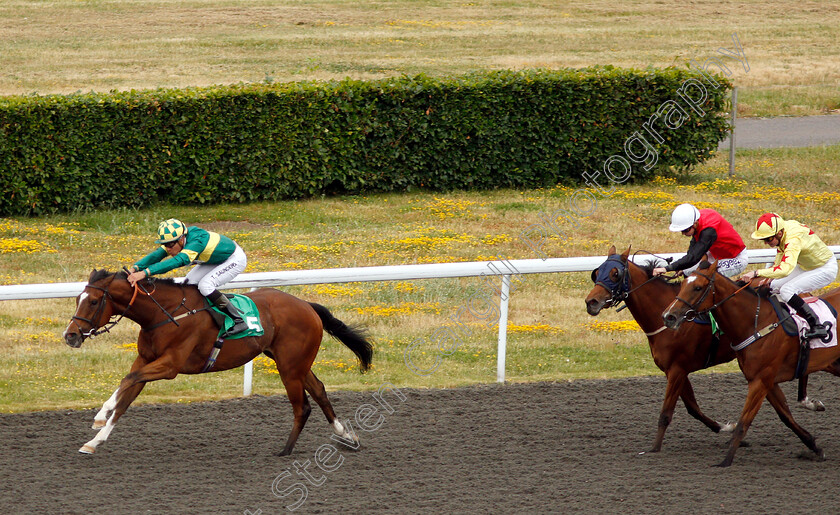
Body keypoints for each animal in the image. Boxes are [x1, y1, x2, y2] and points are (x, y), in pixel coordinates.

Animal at [62, 270, 370, 456]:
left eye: (92, 302)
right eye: (77, 298)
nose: (70, 335)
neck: (163, 315)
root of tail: (307, 305)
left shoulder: (169, 366)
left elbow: (126, 382)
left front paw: (99, 415)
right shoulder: (145, 361)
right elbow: (126, 397)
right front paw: (94, 441)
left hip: (290, 367)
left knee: (302, 405)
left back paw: (285, 450)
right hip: (293, 363)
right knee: (319, 391)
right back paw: (346, 436)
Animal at [584, 246, 736, 452]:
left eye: (615, 274)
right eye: (597, 272)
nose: (591, 302)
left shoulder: (677, 370)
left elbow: (665, 413)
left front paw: (654, 448)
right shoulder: (674, 370)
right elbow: (693, 408)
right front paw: (724, 428)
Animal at [664, 262, 840, 468]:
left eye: (697, 287)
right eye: (683, 285)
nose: (668, 316)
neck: (755, 322)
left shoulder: (760, 381)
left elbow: (743, 423)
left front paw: (725, 461)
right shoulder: (766, 381)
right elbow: (785, 416)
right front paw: (814, 447)